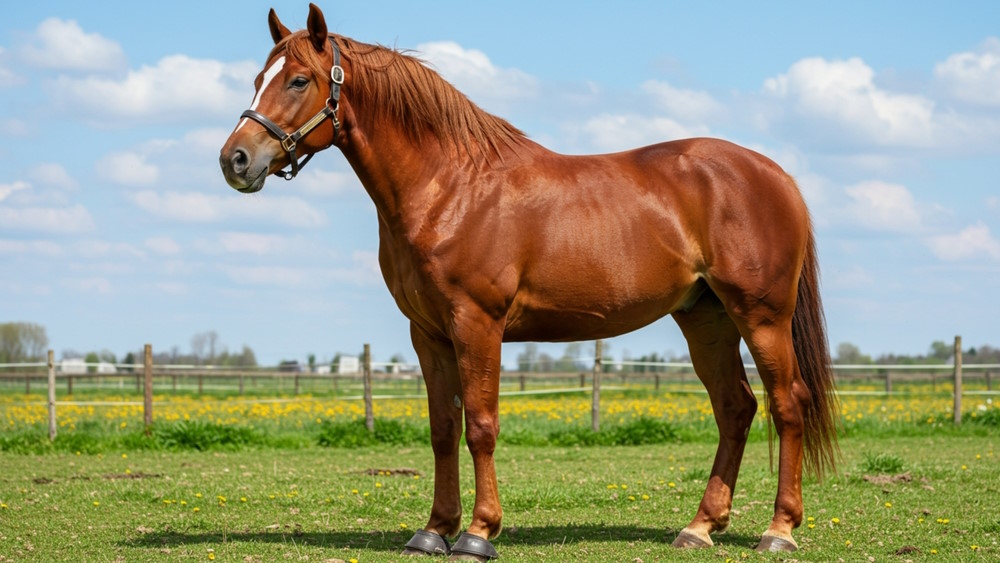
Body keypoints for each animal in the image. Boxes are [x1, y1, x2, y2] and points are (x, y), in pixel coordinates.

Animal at [220, 4, 839, 559]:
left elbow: (481, 425)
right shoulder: (429, 333)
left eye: (299, 79)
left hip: (761, 317)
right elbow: (442, 428)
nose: (236, 160)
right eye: (257, 79)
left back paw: (779, 530)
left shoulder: (478, 324)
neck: (449, 187)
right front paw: (433, 531)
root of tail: (775, 175)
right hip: (705, 317)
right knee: (735, 408)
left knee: (788, 403)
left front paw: (477, 534)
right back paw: (699, 527)